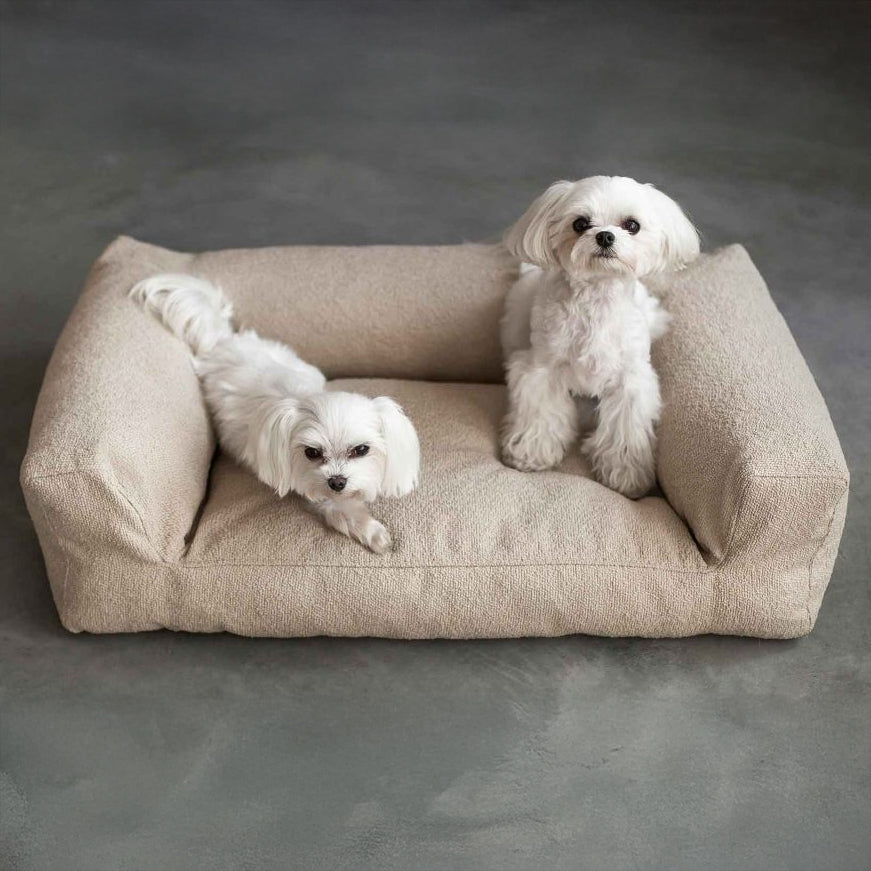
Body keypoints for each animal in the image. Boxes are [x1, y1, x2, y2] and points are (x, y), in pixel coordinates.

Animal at [130, 274, 420, 553]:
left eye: (361, 450)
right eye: (311, 452)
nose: (336, 482)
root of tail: (224, 340)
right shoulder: (308, 483)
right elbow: (338, 508)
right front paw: (375, 534)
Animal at [500, 175, 699, 497]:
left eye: (632, 225)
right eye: (580, 224)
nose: (605, 236)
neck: (597, 297)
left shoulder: (630, 381)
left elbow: (625, 432)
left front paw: (626, 474)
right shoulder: (542, 370)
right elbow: (541, 414)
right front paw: (531, 452)